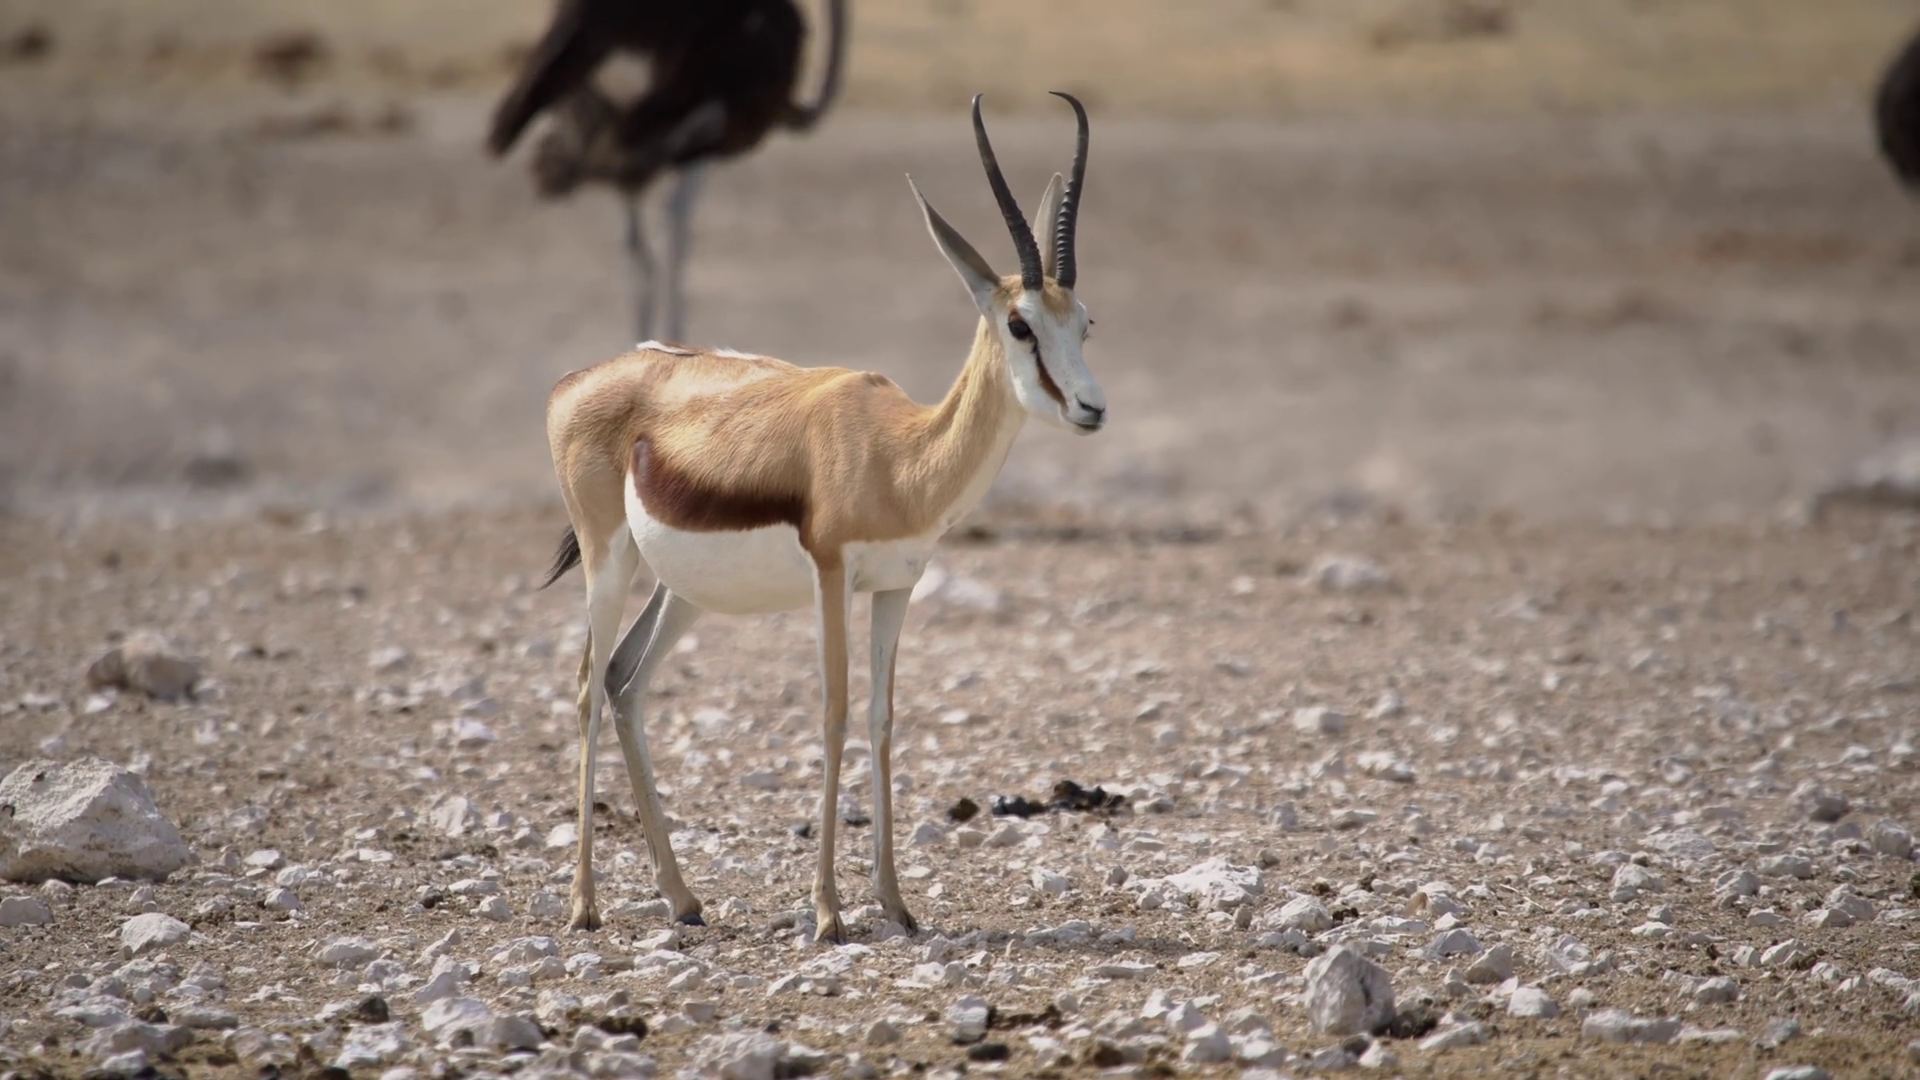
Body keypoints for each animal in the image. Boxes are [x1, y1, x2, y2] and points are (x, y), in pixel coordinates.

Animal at [487, 0, 848, 343]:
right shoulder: (701, 143)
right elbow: (677, 230)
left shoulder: (635, 166)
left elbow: (637, 244)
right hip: (666, 127)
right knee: (669, 229)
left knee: (634, 246)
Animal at [541, 93, 1105, 941]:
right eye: (1020, 324)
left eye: (1086, 323)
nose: (1091, 408)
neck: (900, 456)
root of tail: (573, 382)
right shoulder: (831, 575)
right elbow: (835, 714)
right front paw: (829, 912)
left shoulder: (896, 587)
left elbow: (881, 718)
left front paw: (897, 903)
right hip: (610, 561)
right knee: (583, 685)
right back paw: (583, 905)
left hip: (683, 592)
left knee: (624, 681)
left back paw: (683, 897)